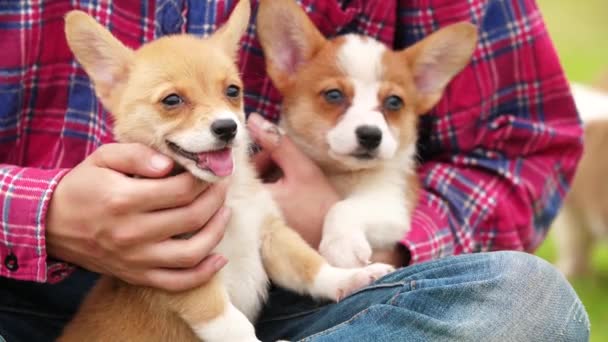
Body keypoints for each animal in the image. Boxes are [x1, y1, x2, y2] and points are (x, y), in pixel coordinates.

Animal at [58, 1, 394, 340]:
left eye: (232, 91)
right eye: (172, 100)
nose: (227, 127)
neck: (229, 197)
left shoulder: (271, 236)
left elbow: (311, 266)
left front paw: (350, 279)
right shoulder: (186, 273)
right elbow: (232, 323)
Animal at [254, 0, 478, 268]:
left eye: (394, 102)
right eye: (334, 95)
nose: (371, 135)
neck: (340, 174)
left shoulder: (392, 203)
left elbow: (344, 207)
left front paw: (342, 245)